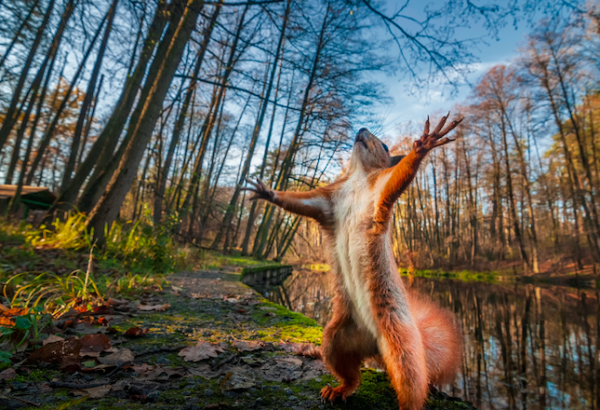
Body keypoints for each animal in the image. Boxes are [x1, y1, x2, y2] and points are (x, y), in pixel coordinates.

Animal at [243, 113, 464, 410]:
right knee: (351, 374)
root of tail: (375, 346)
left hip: (401, 343)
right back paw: (339, 390)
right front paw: (268, 193)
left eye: (384, 145)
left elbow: (400, 176)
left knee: (411, 381)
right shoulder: (327, 203)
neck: (358, 177)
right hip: (336, 339)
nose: (361, 129)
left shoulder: (381, 189)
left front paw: (423, 145)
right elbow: (299, 202)